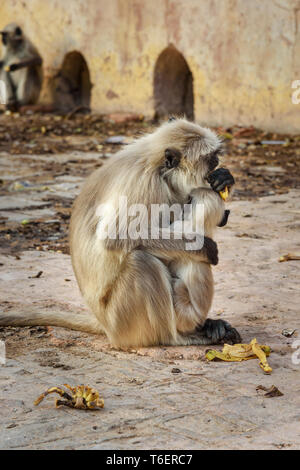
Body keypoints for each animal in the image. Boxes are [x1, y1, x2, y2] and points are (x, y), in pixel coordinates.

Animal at [0, 118, 240, 346]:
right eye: (211, 158)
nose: (218, 163)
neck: (154, 164)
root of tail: (104, 325)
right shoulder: (143, 184)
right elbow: (114, 238)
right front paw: (204, 247)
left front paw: (224, 180)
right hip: (121, 318)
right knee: (140, 261)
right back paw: (174, 337)